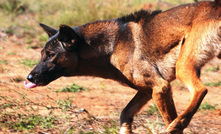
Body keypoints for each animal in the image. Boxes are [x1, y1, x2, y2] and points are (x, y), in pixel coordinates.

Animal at [25, 0, 221, 133]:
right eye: (42, 54)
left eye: (51, 55)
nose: (29, 78)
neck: (112, 46)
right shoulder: (147, 91)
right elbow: (124, 115)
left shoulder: (161, 87)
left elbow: (169, 120)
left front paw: (176, 125)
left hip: (182, 67)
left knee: (201, 90)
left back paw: (179, 122)